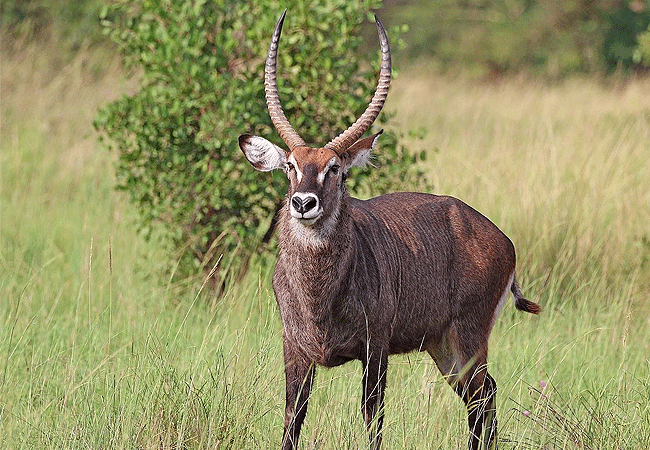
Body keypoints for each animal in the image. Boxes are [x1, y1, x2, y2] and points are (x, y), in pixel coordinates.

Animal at [235, 10, 540, 450]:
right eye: (290, 165)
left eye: (336, 169)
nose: (304, 203)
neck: (319, 294)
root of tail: (499, 236)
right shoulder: (295, 349)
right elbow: (293, 418)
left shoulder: (375, 347)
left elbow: (373, 419)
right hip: (443, 348)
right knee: (484, 397)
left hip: (469, 338)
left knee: (482, 398)